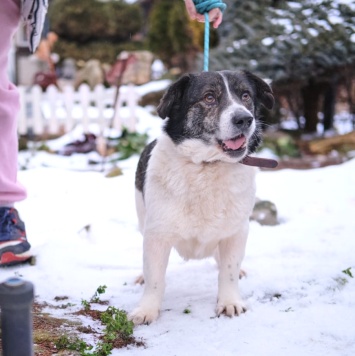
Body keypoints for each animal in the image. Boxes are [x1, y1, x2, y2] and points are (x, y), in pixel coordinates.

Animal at [129, 70, 274, 326]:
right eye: (209, 97)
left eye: (246, 95)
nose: (245, 119)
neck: (207, 166)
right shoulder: (157, 235)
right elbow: (155, 278)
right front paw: (147, 310)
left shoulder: (236, 232)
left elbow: (228, 271)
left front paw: (229, 302)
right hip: (142, 217)